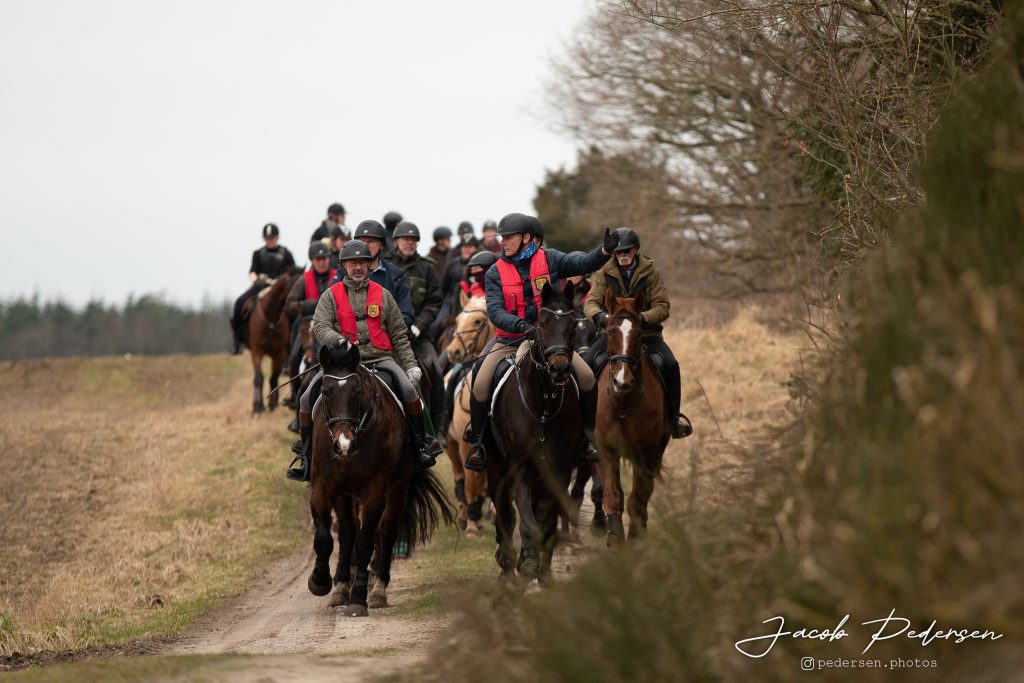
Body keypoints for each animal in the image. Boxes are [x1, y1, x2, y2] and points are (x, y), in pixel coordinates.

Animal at [245, 274, 294, 417]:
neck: (271, 318)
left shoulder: (279, 353)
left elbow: (273, 378)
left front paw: (272, 404)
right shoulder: (257, 351)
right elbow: (259, 378)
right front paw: (257, 409)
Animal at [305, 339, 454, 614]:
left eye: (357, 392)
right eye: (326, 391)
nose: (343, 445)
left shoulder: (374, 491)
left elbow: (366, 541)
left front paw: (359, 597)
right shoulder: (324, 487)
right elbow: (324, 538)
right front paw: (320, 581)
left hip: (398, 489)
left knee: (386, 532)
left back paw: (377, 590)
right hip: (346, 495)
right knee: (347, 532)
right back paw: (341, 587)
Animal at [483, 280, 581, 585]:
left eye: (573, 325)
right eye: (541, 324)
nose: (559, 369)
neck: (543, 405)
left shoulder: (560, 470)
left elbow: (546, 517)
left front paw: (543, 567)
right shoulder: (520, 468)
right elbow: (526, 515)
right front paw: (527, 562)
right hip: (495, 470)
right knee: (505, 514)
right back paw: (506, 565)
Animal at [598, 286, 667, 544]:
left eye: (638, 333)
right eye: (609, 332)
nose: (622, 381)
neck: (623, 402)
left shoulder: (646, 455)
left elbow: (637, 500)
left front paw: (636, 540)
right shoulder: (606, 452)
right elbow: (613, 496)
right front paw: (615, 539)